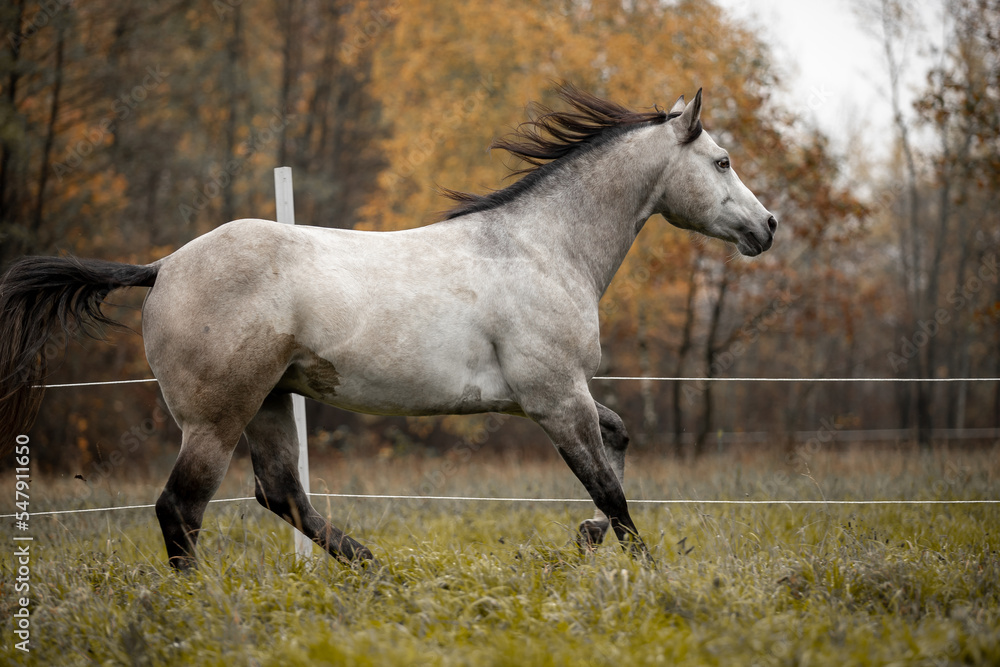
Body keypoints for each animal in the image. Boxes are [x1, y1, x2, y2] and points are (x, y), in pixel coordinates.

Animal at [0, 84, 776, 569]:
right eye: (722, 161)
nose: (767, 226)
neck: (542, 245)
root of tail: (161, 267)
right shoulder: (555, 397)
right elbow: (608, 487)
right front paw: (645, 569)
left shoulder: (559, 395)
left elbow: (618, 445)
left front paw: (589, 539)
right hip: (216, 420)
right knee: (180, 510)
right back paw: (202, 604)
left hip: (271, 401)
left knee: (280, 493)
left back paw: (373, 568)